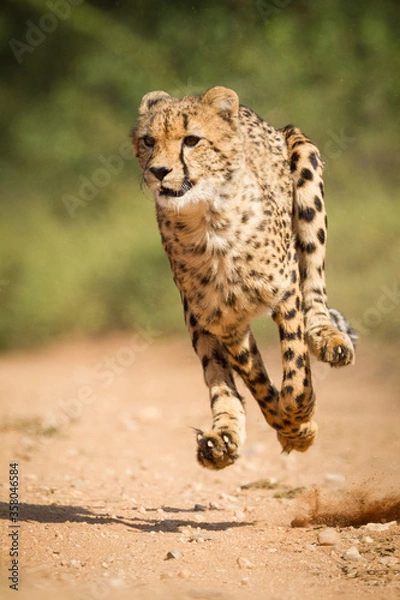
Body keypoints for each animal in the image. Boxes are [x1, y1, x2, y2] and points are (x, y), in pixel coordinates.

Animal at [132, 85, 356, 468]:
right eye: (149, 140)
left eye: (191, 140)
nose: (159, 171)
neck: (208, 222)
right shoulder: (225, 321)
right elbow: (257, 383)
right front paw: (293, 428)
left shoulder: (285, 289)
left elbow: (295, 369)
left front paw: (299, 417)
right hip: (195, 317)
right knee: (217, 372)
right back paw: (221, 438)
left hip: (304, 161)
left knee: (314, 287)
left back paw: (328, 337)